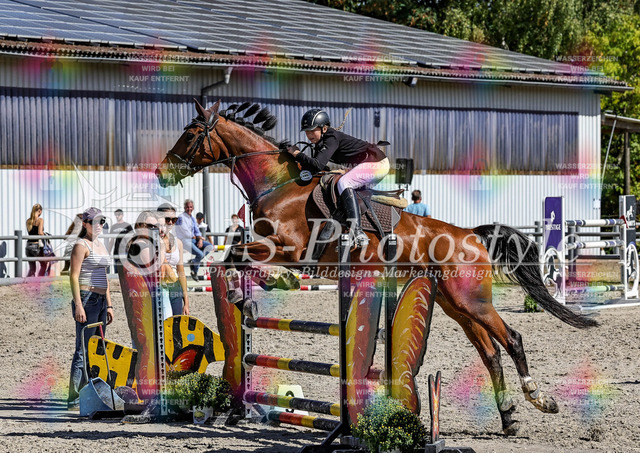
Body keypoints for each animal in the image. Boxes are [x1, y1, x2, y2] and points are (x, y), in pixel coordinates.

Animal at [156, 99, 598, 436]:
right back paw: (508, 419)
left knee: (513, 339)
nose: (162, 173)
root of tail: (471, 234)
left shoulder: (290, 248)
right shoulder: (271, 246)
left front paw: (267, 284)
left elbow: (239, 256)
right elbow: (232, 256)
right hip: (455, 303)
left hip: (472, 301)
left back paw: (540, 399)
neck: (278, 184)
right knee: (490, 352)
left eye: (192, 134)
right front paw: (247, 293)